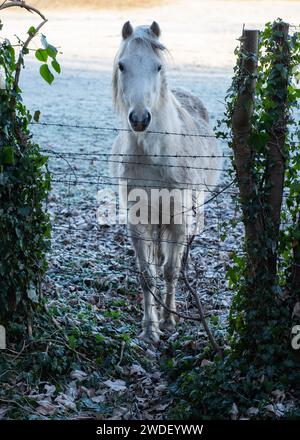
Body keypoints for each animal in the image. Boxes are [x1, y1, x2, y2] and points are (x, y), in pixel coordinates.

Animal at [111, 21, 221, 344]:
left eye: (158, 66)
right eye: (122, 65)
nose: (139, 118)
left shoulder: (179, 220)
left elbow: (171, 270)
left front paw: (170, 320)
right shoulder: (138, 222)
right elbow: (148, 274)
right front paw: (150, 328)